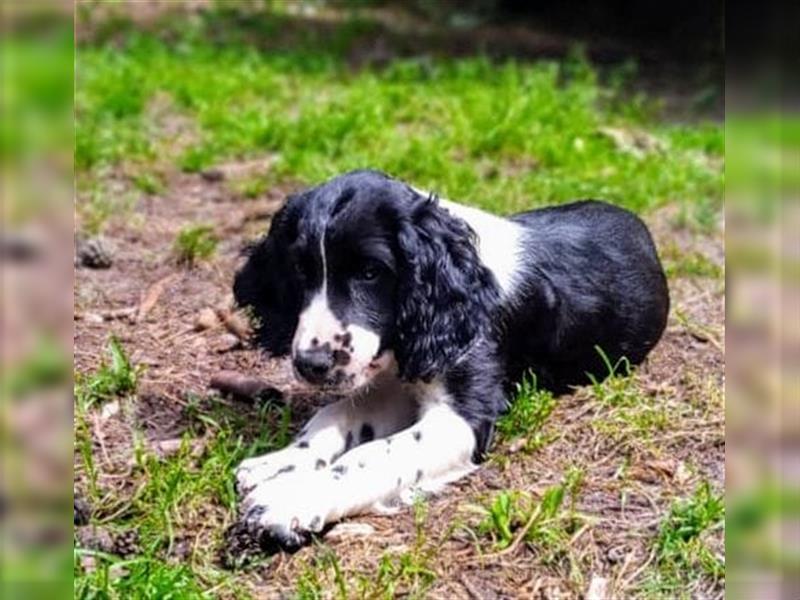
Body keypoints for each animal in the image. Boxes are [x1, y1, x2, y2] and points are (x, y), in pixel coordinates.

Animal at [233, 168, 668, 548]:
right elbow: (336, 415)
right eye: (300, 271)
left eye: (371, 272)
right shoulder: (397, 382)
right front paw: (279, 463)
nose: (311, 365)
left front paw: (291, 499)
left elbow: (373, 455)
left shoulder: (461, 416)